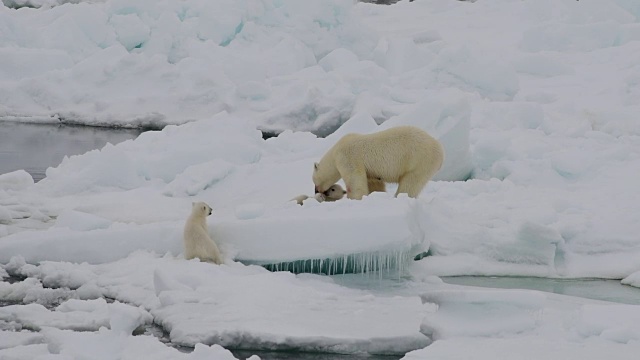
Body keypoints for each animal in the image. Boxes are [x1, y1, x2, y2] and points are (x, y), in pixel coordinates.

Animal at [312, 126, 442, 200]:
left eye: (314, 181)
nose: (316, 191)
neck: (335, 152)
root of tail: (441, 150)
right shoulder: (371, 171)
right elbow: (373, 182)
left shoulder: (348, 157)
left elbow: (355, 181)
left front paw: (354, 198)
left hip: (419, 161)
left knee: (410, 183)